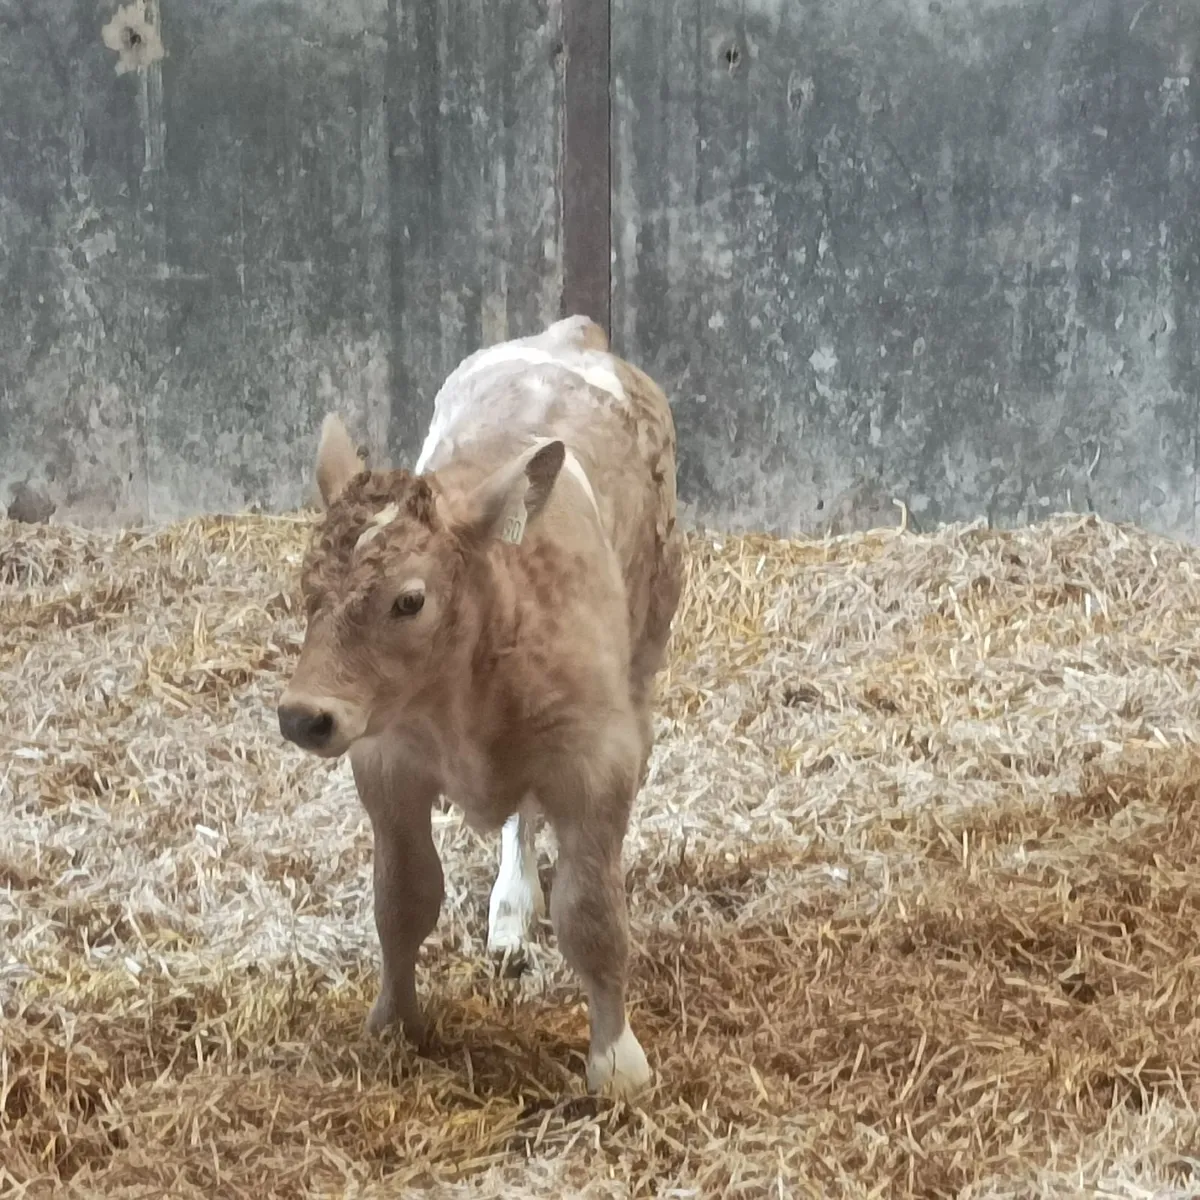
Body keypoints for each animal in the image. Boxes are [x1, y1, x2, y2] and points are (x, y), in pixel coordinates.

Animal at [276, 315, 684, 1099]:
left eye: (409, 600)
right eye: (307, 587)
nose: (304, 715)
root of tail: (572, 332)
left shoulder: (594, 760)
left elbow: (592, 913)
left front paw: (617, 1063)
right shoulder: (387, 763)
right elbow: (402, 899)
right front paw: (395, 1024)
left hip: (645, 659)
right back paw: (511, 912)